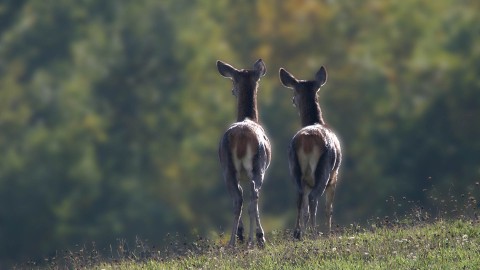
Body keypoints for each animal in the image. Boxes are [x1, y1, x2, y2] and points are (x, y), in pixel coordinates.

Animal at [217, 59, 270, 247]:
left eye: (234, 81)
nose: (232, 91)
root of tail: (240, 137)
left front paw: (241, 233)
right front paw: (258, 236)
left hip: (227, 168)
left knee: (237, 199)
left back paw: (233, 242)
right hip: (257, 165)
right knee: (253, 196)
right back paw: (253, 240)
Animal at [278, 66, 342, 239]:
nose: (293, 101)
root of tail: (307, 140)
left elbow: (305, 210)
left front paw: (303, 232)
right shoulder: (334, 176)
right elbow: (329, 208)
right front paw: (329, 233)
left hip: (294, 166)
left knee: (299, 197)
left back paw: (297, 233)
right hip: (324, 168)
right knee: (314, 198)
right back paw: (315, 234)